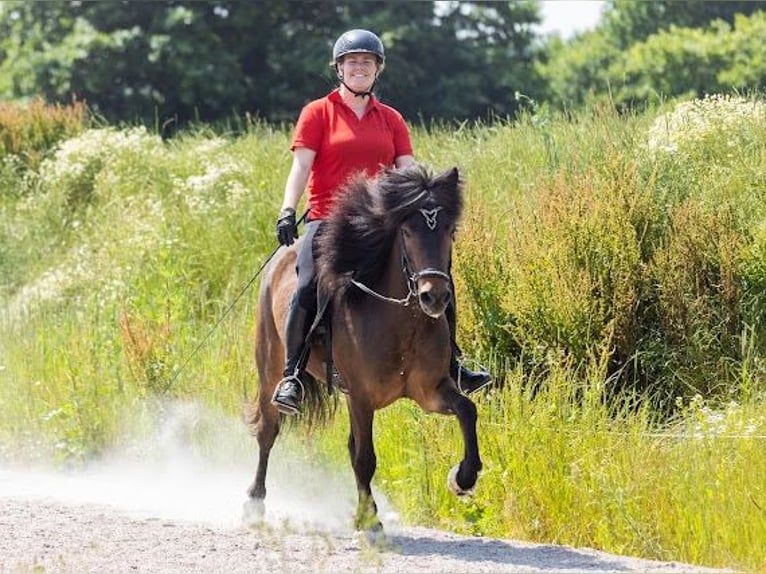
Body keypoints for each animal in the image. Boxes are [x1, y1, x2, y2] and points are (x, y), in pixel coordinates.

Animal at [245, 163, 482, 533]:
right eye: (407, 231)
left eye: (449, 229)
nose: (434, 297)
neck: (401, 321)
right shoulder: (361, 396)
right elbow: (365, 457)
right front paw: (370, 520)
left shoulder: (430, 392)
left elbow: (467, 411)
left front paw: (463, 478)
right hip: (269, 365)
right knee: (268, 431)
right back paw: (255, 501)